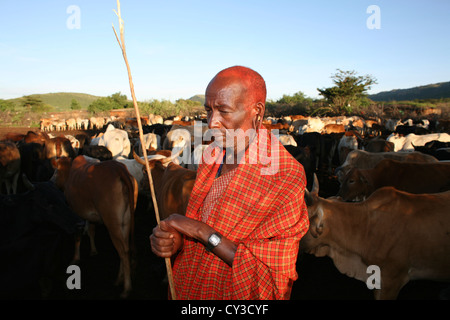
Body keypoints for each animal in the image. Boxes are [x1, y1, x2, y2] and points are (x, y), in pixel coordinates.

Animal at [51, 155, 139, 298]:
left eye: (55, 171)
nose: (51, 181)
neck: (69, 173)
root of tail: (118, 168)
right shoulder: (91, 215)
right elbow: (91, 230)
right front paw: (93, 250)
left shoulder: (75, 212)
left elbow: (78, 235)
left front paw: (75, 258)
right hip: (125, 222)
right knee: (125, 247)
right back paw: (119, 279)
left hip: (112, 222)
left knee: (123, 251)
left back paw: (126, 288)